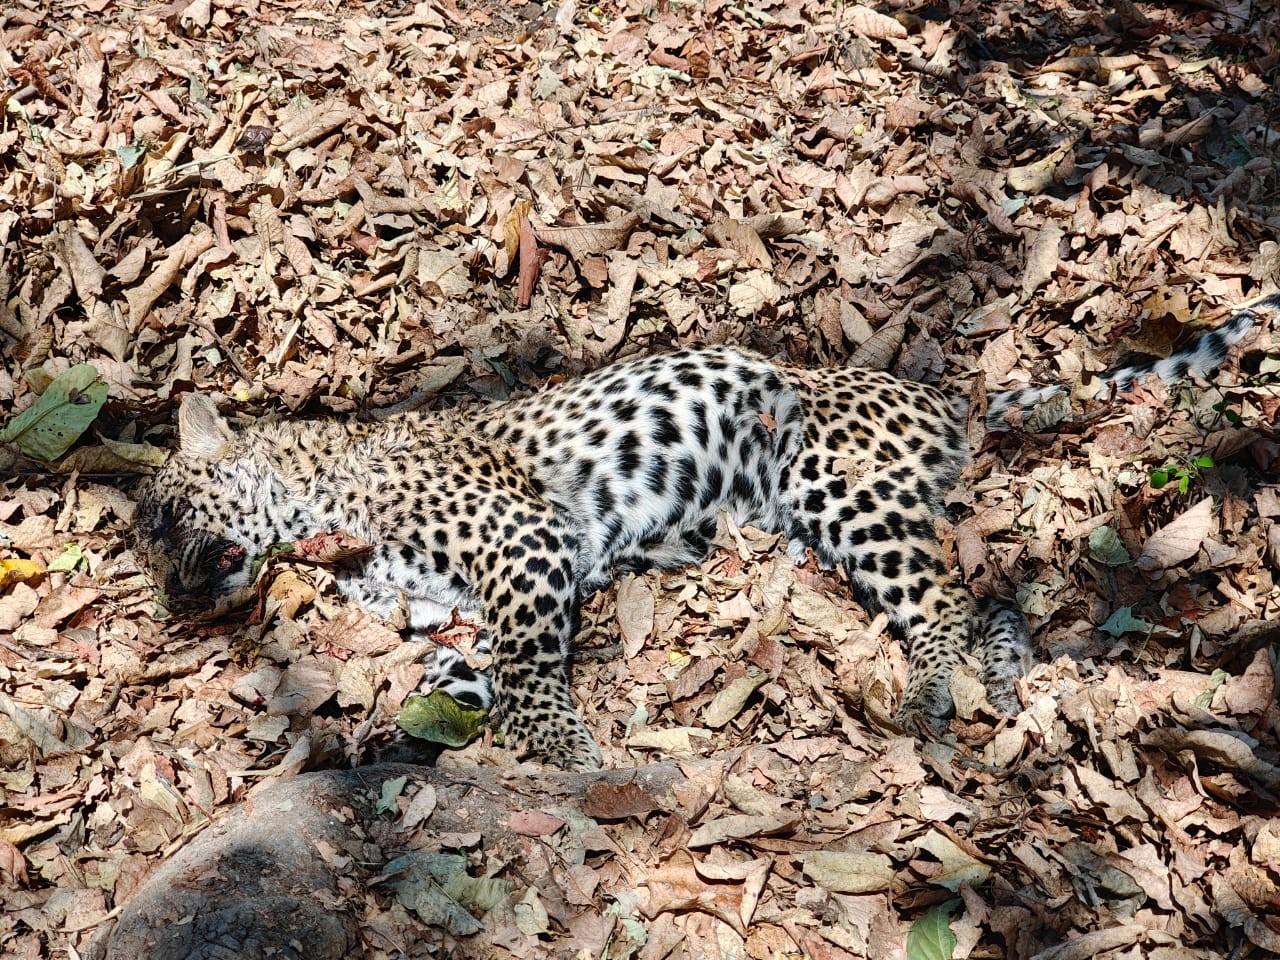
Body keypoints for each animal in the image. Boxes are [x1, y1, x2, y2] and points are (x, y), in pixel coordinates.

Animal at [131, 292, 1280, 771]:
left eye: (169, 519)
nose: (179, 592)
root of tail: (938, 393)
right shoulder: (453, 615)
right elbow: (462, 678)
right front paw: (410, 738)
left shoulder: (527, 547)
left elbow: (530, 670)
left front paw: (562, 747)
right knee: (988, 592)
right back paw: (994, 680)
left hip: (835, 485)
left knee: (944, 603)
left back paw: (926, 696)